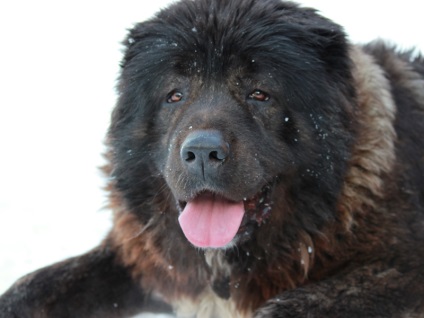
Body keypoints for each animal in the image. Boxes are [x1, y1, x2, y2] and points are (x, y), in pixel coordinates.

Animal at [0, 0, 424, 316]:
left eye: (259, 94)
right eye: (175, 95)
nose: (202, 151)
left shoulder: (399, 269)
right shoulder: (143, 255)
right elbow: (36, 286)